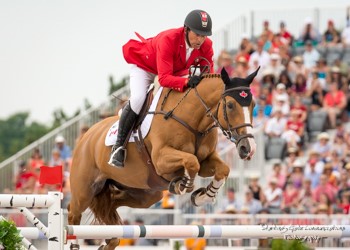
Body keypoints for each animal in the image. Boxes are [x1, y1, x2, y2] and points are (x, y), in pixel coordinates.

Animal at [68, 67, 258, 249]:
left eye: (253, 105)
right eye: (231, 105)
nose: (248, 148)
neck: (193, 120)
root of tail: (85, 136)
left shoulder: (206, 160)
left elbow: (222, 169)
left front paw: (203, 196)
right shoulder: (161, 159)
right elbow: (191, 162)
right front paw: (184, 185)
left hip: (147, 193)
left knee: (112, 204)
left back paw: (110, 242)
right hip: (84, 192)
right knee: (73, 214)